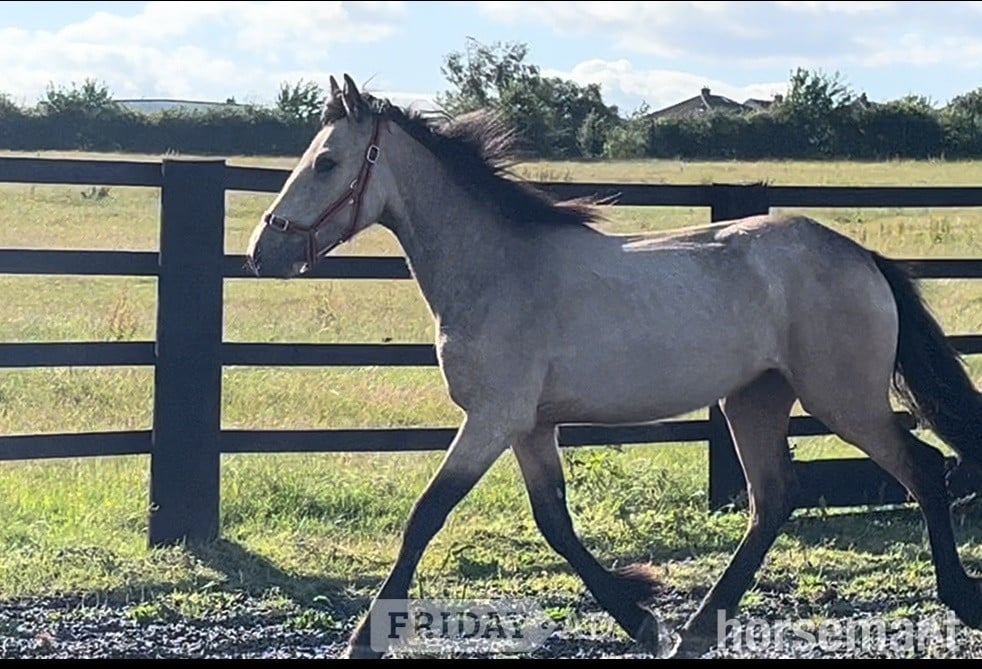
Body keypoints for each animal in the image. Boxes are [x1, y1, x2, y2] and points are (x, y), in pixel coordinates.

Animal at [245, 74, 982, 658]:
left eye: (327, 162)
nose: (260, 253)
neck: (496, 268)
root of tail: (862, 257)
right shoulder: (530, 426)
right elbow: (554, 522)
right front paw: (643, 618)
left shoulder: (492, 418)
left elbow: (427, 513)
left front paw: (362, 639)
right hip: (755, 399)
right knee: (773, 499)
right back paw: (694, 633)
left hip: (842, 400)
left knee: (921, 468)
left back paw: (959, 597)